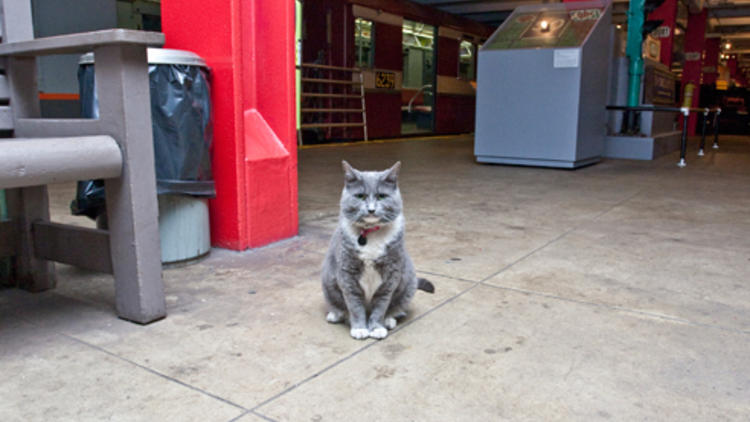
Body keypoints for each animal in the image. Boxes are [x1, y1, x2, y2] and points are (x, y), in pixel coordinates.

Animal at [322, 161, 434, 340]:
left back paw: (389, 320)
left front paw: (376, 328)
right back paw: (335, 315)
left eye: (381, 196)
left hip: (409, 284)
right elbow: (354, 305)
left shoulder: (391, 274)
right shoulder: (347, 274)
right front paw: (360, 328)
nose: (371, 210)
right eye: (360, 196)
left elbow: (381, 305)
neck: (370, 234)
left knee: (396, 308)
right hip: (327, 284)